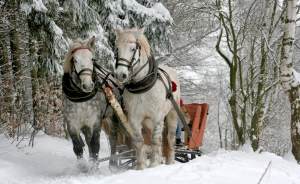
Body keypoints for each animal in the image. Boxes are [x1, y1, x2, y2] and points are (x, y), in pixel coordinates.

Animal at [113, 27, 180, 170]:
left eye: (133, 49)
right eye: (117, 49)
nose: (121, 74)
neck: (142, 87)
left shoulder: (157, 117)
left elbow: (155, 141)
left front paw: (154, 164)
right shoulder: (134, 119)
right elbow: (139, 142)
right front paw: (141, 167)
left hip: (172, 114)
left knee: (170, 138)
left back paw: (170, 161)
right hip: (148, 122)